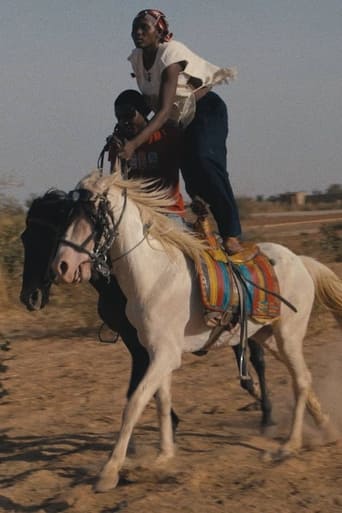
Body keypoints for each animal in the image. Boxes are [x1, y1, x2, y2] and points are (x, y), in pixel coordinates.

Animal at [51, 170, 342, 490]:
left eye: (94, 215)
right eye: (69, 213)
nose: (62, 266)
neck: (156, 276)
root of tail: (301, 261)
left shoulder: (165, 354)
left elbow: (135, 402)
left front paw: (110, 471)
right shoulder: (156, 352)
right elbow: (162, 401)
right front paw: (163, 456)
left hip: (288, 335)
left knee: (301, 379)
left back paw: (289, 445)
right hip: (267, 338)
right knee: (302, 377)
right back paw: (326, 428)